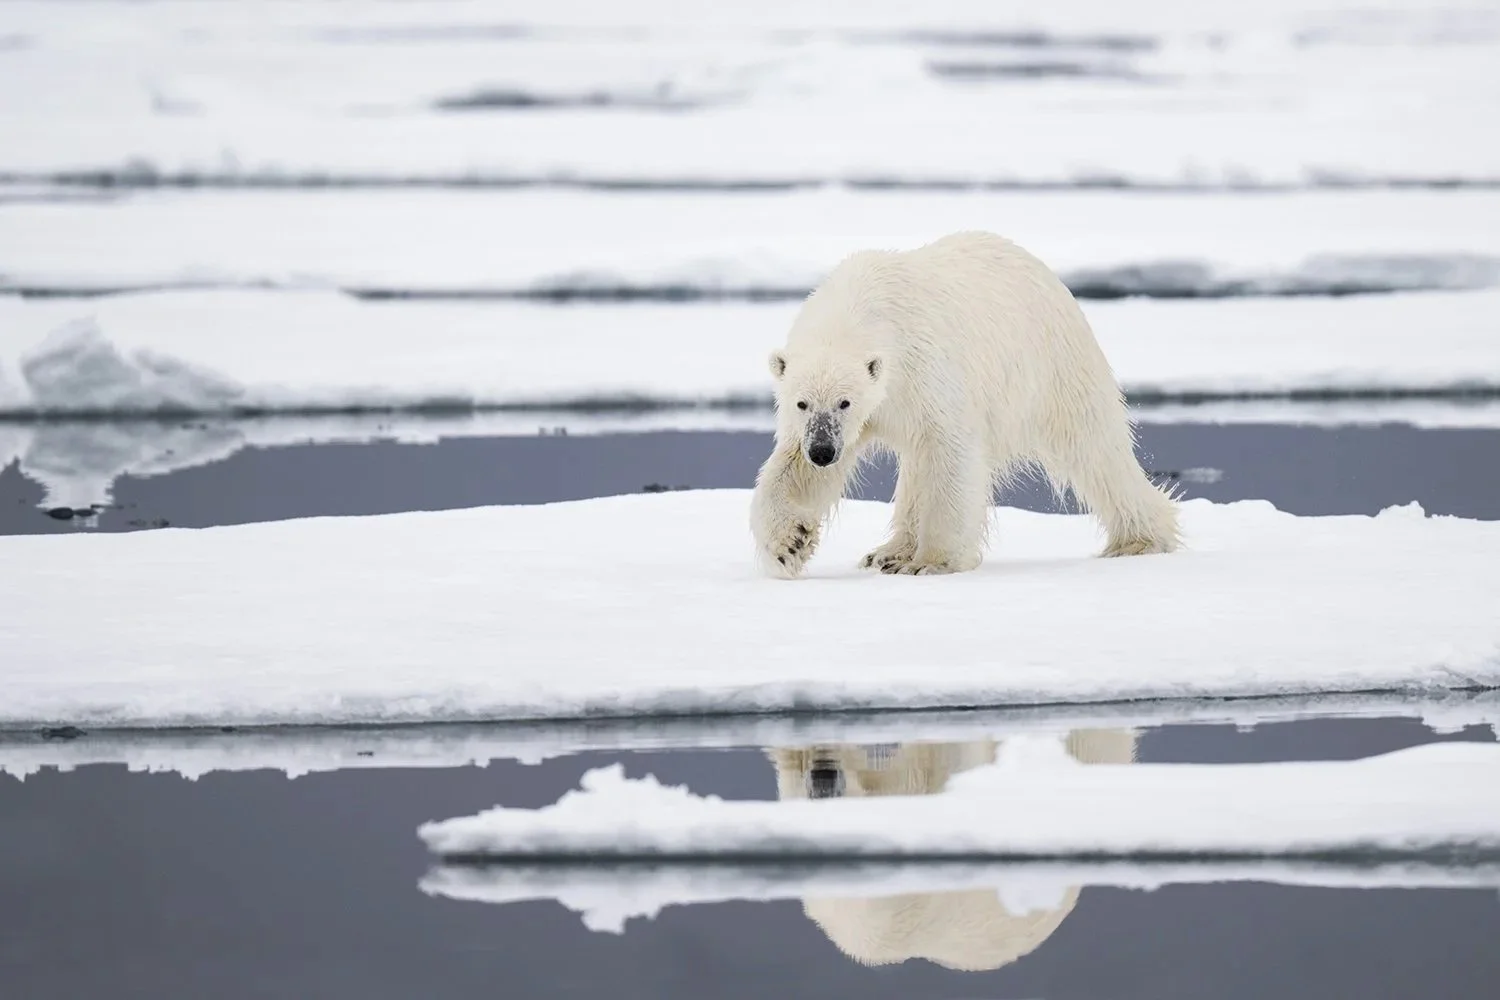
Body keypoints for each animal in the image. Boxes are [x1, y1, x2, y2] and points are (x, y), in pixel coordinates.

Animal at [748, 229, 1181, 578]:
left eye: (844, 402)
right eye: (802, 403)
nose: (823, 451)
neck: (863, 304)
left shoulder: (925, 371)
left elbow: (949, 452)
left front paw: (931, 562)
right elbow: (794, 469)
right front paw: (789, 543)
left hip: (1052, 364)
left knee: (1095, 447)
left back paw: (1140, 539)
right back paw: (887, 553)